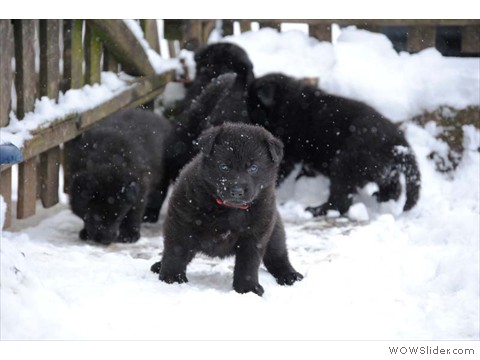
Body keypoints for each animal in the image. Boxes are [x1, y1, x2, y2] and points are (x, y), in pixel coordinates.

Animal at [66, 109, 173, 245]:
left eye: (118, 217)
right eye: (94, 217)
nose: (105, 240)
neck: (106, 160)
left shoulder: (140, 187)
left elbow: (134, 213)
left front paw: (129, 235)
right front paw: (85, 232)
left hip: (161, 177)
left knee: (158, 196)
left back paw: (150, 215)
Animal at [150, 123, 302, 296]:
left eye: (253, 168)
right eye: (224, 167)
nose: (237, 190)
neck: (229, 209)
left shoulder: (255, 233)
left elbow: (249, 263)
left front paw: (247, 288)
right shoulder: (181, 220)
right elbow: (176, 250)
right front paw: (172, 278)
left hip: (275, 232)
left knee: (278, 256)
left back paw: (289, 275)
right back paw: (159, 265)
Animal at [248, 71, 420, 215]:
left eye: (252, 106)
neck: (287, 103)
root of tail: (399, 144)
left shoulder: (287, 153)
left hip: (345, 163)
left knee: (341, 200)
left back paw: (317, 210)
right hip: (382, 169)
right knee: (394, 187)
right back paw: (382, 200)